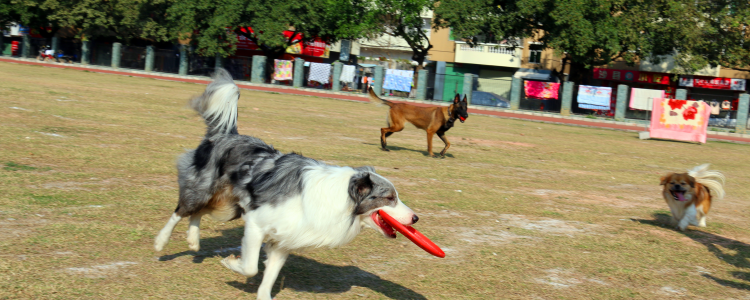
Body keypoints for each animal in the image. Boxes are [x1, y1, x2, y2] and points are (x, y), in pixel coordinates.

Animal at [155, 68, 420, 300]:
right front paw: (231, 263)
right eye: (389, 198)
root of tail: (225, 135)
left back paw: (193, 240)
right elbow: (251, 267)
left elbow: (269, 277)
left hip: (229, 207)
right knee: (181, 210)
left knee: (198, 213)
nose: (416, 218)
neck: (342, 198)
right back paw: (161, 242)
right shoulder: (256, 223)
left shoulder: (284, 238)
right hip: (203, 189)